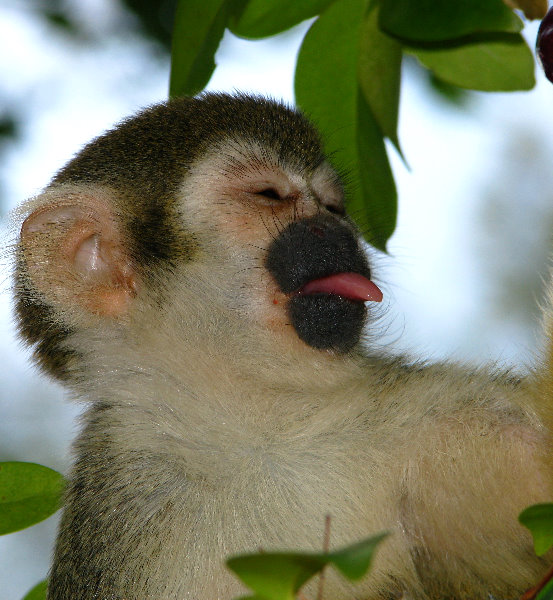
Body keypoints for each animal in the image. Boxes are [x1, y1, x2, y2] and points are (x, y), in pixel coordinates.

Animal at [11, 94, 552, 600]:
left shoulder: (419, 417)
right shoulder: (123, 506)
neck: (256, 426)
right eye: (268, 194)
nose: (335, 230)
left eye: (333, 205)